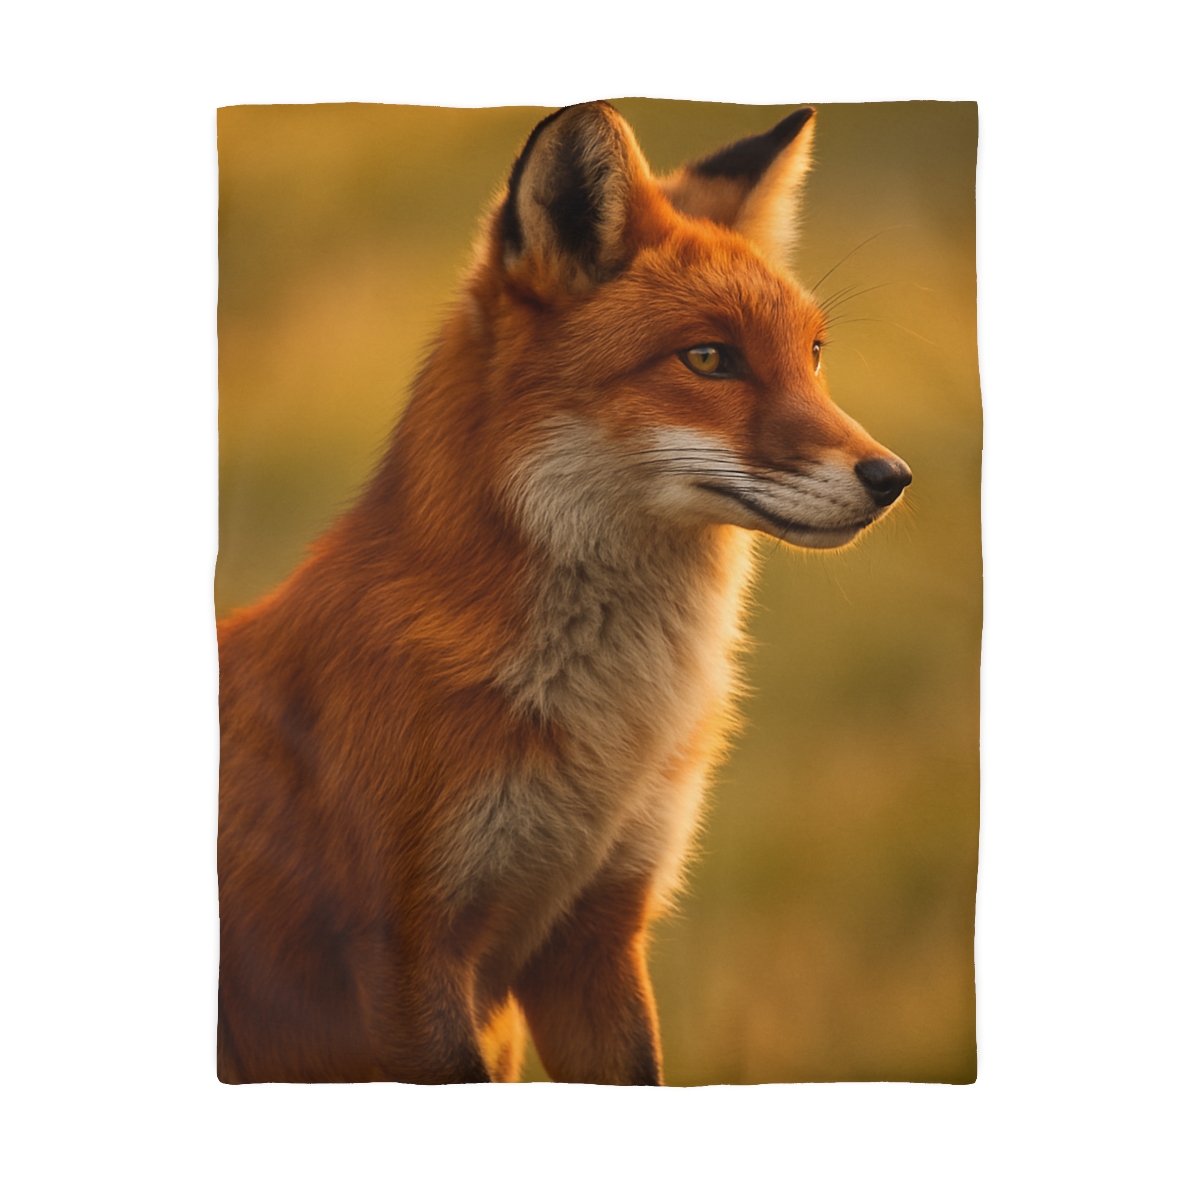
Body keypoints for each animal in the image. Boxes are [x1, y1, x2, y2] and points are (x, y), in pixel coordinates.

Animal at [217, 101, 912, 1085]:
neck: (610, 733)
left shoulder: (597, 939)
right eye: (709, 358)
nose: (893, 477)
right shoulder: (406, 959)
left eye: (813, 355)